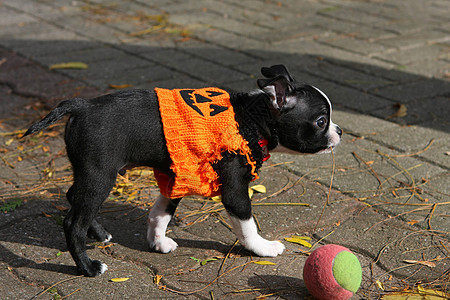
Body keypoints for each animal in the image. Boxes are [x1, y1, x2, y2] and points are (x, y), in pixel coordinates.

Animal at [24, 65, 342, 276]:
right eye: (321, 121)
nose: (339, 130)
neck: (252, 117)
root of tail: (82, 105)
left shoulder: (176, 174)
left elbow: (161, 212)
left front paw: (157, 241)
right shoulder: (235, 190)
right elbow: (247, 224)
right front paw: (261, 248)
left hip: (89, 174)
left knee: (73, 197)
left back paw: (100, 233)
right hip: (99, 176)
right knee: (73, 222)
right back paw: (89, 267)